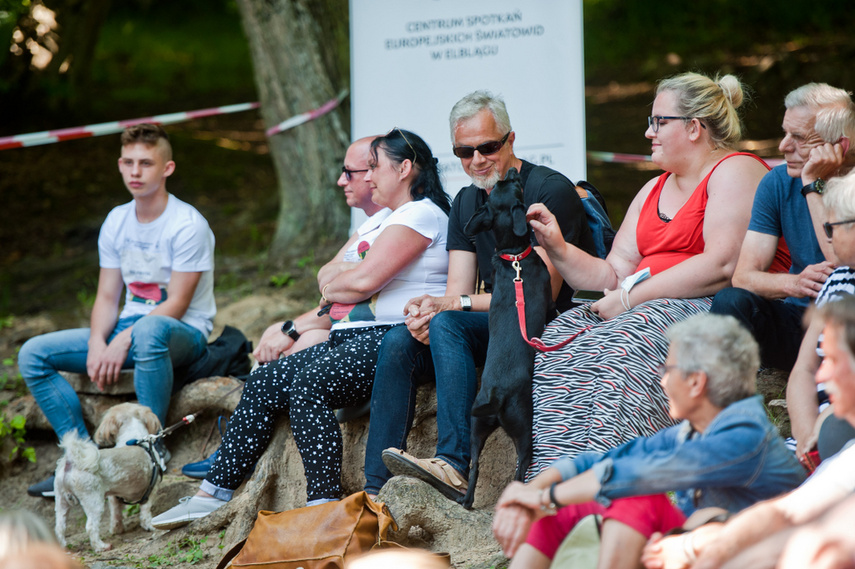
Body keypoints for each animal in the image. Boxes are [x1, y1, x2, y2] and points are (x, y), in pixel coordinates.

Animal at [55, 400, 167, 552]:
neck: (132, 438)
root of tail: (72, 461)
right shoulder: (151, 490)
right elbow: (145, 510)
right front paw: (149, 525)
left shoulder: (114, 496)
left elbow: (116, 513)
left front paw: (117, 529)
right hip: (93, 500)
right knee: (91, 526)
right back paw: (101, 546)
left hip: (61, 500)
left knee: (59, 528)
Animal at [462, 166, 556, 508]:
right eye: (515, 184)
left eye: (507, 182)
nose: (513, 169)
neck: (513, 255)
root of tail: (495, 396)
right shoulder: (550, 301)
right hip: (525, 429)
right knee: (520, 467)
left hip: (476, 428)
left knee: (474, 467)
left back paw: (466, 501)